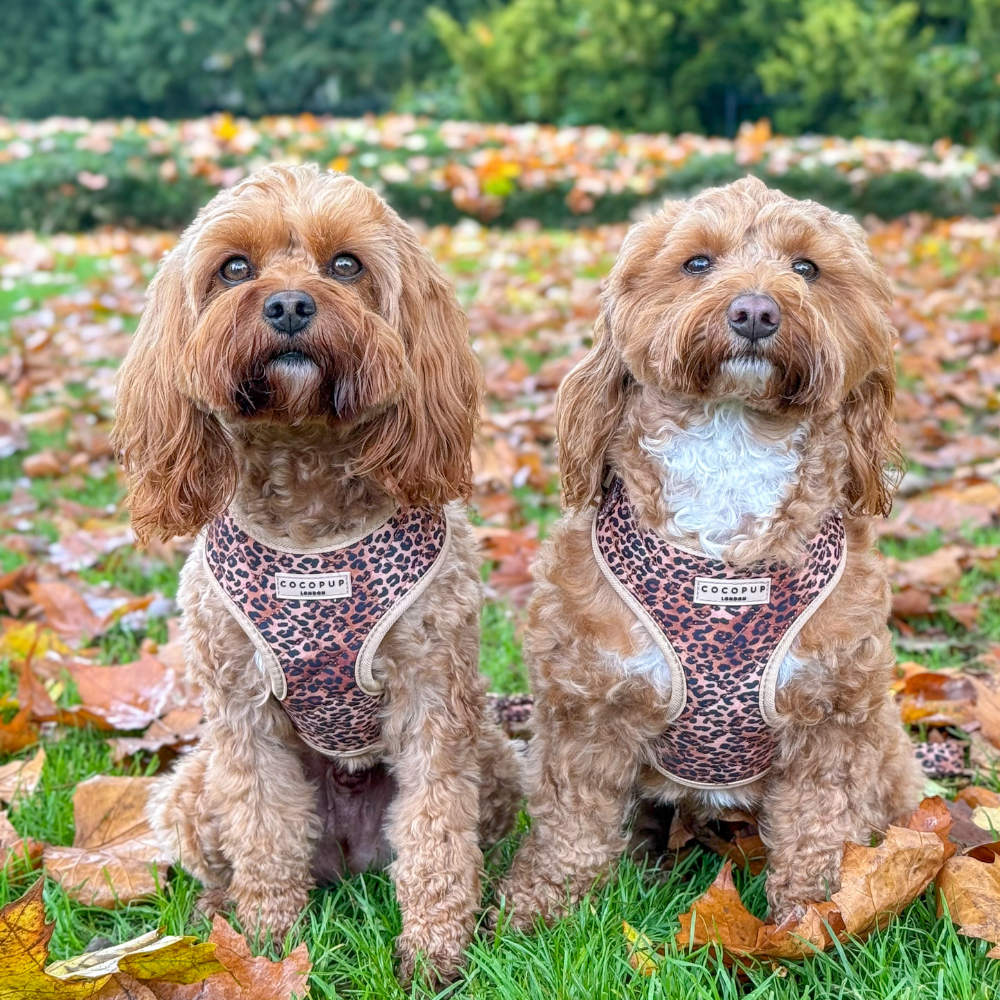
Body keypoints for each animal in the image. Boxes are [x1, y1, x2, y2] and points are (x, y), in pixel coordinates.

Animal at [498, 178, 920, 928]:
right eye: (697, 262)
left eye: (806, 268)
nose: (754, 309)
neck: (732, 450)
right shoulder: (588, 705)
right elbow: (572, 824)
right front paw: (538, 911)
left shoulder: (833, 716)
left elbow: (820, 830)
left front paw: (811, 922)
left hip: (889, 749)